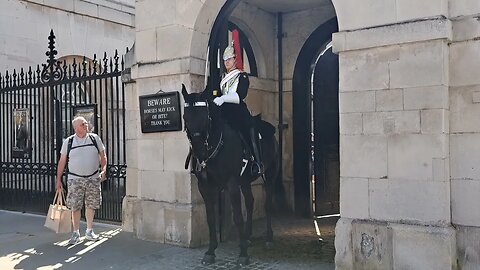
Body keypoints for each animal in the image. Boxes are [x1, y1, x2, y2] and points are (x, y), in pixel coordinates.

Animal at [182, 85, 284, 266]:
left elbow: (237, 217)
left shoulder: (231, 183)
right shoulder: (205, 186)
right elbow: (210, 218)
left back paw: (268, 238)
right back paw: (248, 236)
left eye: (204, 116)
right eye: (185, 117)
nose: (199, 153)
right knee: (250, 202)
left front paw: (243, 255)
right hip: (245, 181)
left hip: (269, 176)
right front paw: (210, 251)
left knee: (267, 205)